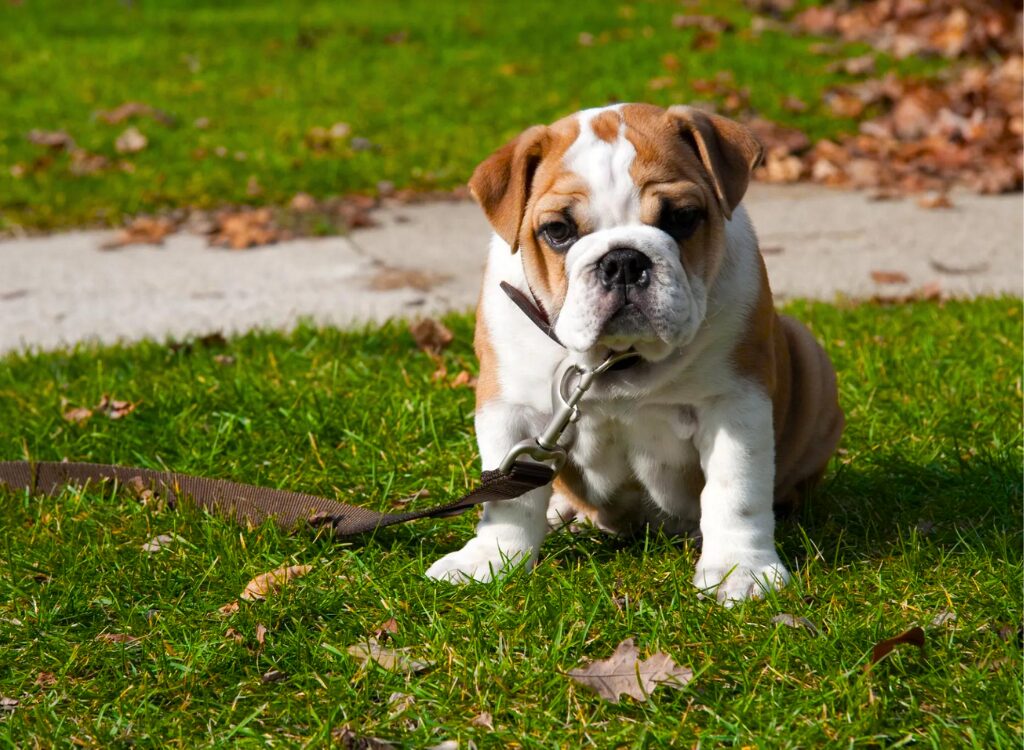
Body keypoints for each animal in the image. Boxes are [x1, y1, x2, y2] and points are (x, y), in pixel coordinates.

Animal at [421, 102, 839, 602]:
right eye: (558, 230)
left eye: (682, 217)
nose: (622, 260)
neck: (614, 359)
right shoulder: (511, 408)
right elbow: (509, 499)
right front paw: (490, 559)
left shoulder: (735, 403)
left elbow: (735, 490)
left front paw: (740, 570)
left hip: (810, 355)